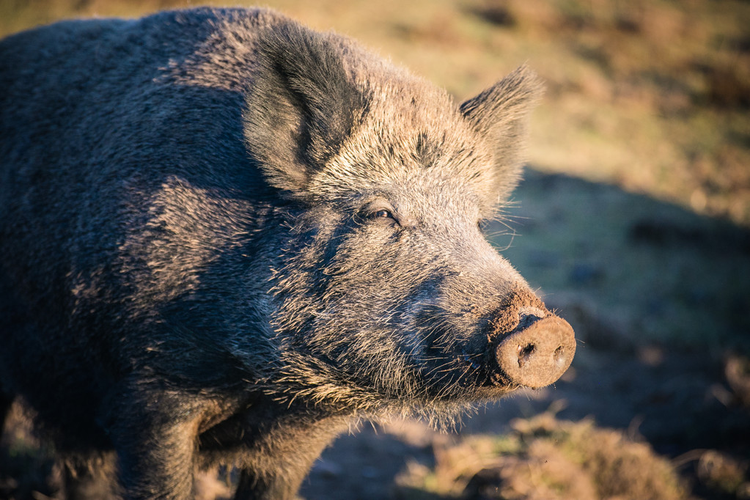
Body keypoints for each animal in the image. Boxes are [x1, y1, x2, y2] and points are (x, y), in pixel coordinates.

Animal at [0, 7, 575, 500]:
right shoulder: (149, 389)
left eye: (476, 223)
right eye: (379, 214)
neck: (262, 382)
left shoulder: (302, 435)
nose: (548, 329)